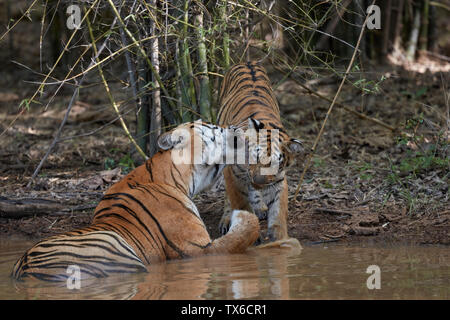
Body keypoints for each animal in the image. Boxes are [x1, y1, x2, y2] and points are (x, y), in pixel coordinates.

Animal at [11, 121, 260, 282]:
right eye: (216, 129)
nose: (237, 127)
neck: (179, 177)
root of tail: (26, 269)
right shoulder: (198, 250)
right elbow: (244, 232)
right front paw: (242, 216)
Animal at [217, 61, 304, 241]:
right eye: (255, 156)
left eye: (276, 163)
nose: (258, 180)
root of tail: (247, 62)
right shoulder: (234, 174)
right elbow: (240, 203)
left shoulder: (279, 179)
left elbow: (278, 211)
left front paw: (279, 237)